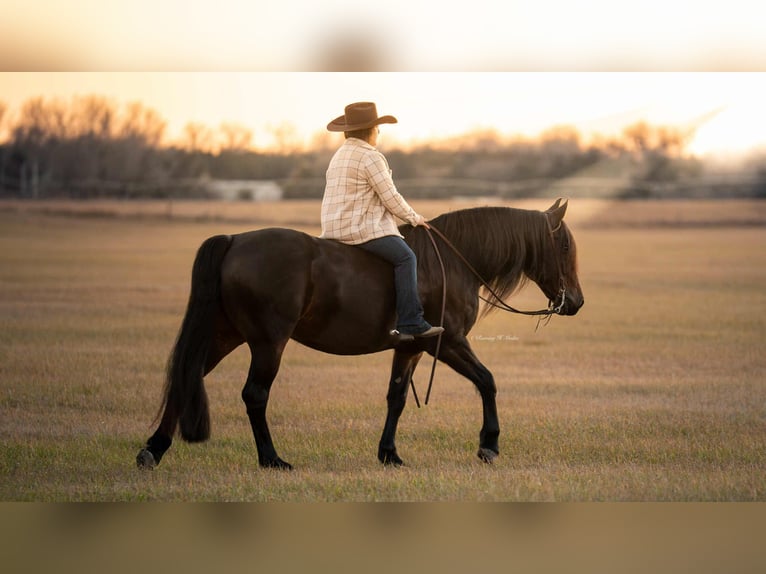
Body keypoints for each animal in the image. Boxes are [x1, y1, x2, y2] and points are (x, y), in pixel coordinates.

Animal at [136, 198, 583, 470]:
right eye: (563, 247)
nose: (576, 302)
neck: (452, 262)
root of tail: (234, 241)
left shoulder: (410, 347)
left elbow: (396, 398)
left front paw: (389, 454)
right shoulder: (447, 343)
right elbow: (488, 381)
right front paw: (489, 444)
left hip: (225, 335)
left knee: (187, 377)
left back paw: (153, 450)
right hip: (267, 342)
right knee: (254, 395)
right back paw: (271, 459)